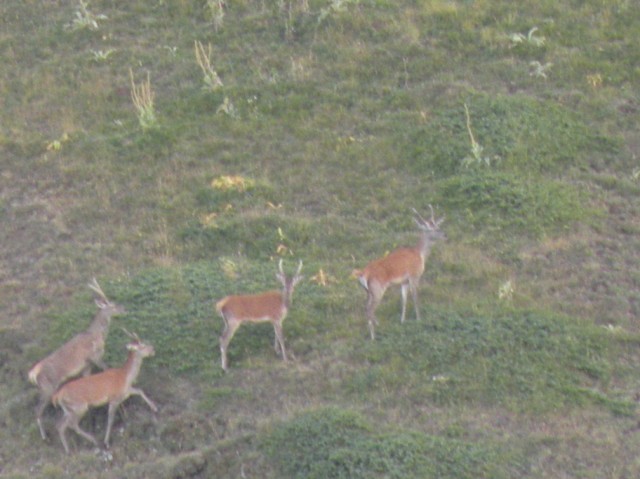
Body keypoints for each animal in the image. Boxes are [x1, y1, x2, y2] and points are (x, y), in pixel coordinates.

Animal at [27, 280, 125, 440]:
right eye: (112, 305)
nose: (123, 309)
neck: (97, 336)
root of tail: (33, 373)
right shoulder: (94, 356)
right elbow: (106, 369)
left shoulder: (86, 365)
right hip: (48, 387)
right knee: (37, 409)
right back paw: (44, 436)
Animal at [350, 207, 444, 342]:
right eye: (430, 228)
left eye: (437, 225)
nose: (444, 234)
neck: (420, 255)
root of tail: (362, 273)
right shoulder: (414, 276)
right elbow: (415, 298)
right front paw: (419, 319)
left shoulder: (404, 282)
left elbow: (404, 299)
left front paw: (402, 321)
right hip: (378, 289)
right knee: (370, 309)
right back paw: (374, 335)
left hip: (368, 291)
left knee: (365, 307)